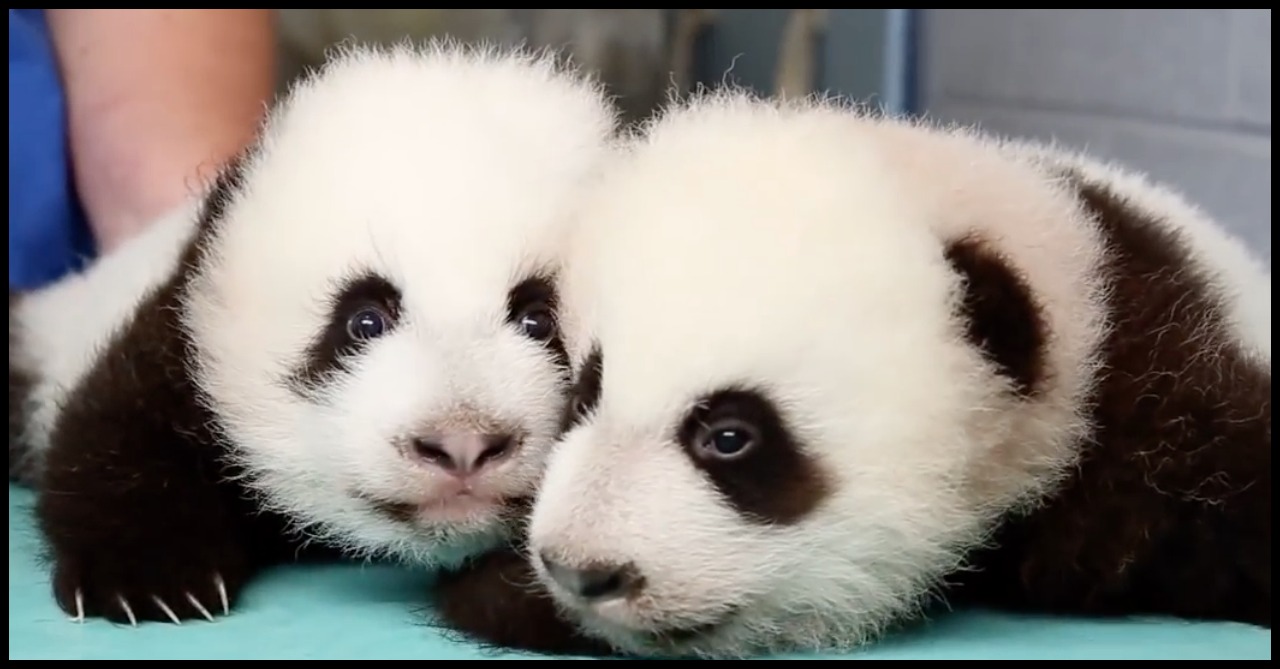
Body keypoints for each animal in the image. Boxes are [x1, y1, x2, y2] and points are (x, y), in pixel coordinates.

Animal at [7, 39, 617, 627]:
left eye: (539, 320)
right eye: (363, 321)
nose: (461, 443)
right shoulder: (190, 326)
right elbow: (117, 424)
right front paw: (149, 578)